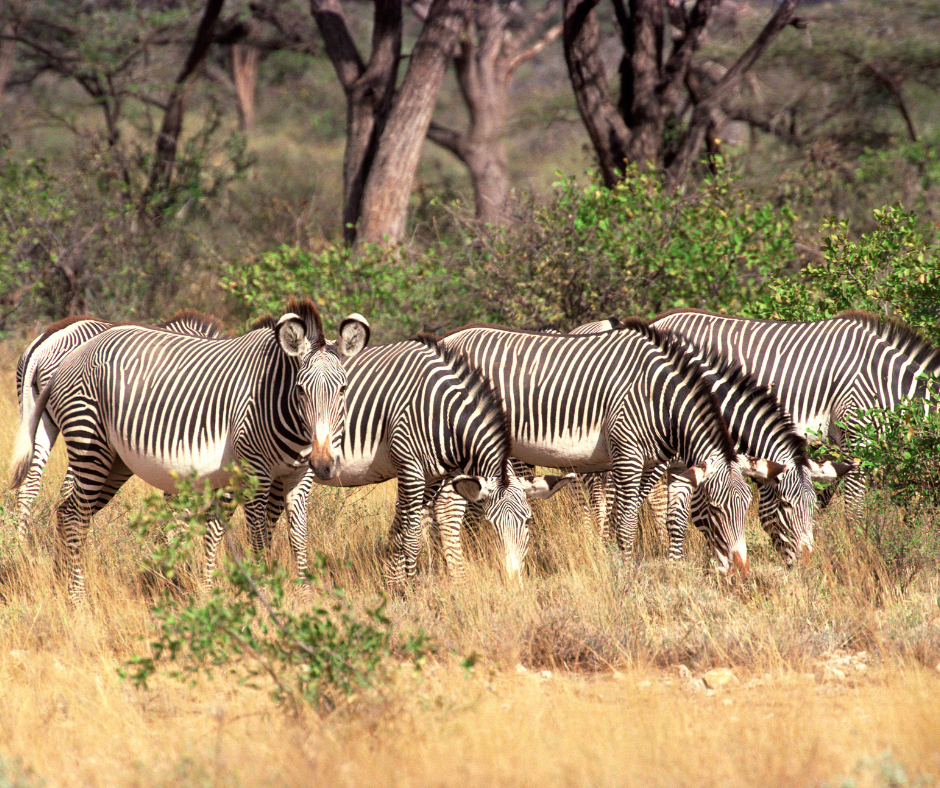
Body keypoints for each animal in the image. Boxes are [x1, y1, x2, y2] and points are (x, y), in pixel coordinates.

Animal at [11, 308, 227, 536]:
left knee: (30, 483)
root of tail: (45, 342)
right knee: (69, 489)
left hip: (40, 415)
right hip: (85, 423)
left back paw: (20, 541)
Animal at [260, 330, 576, 584]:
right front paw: (409, 588)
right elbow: (411, 535)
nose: (512, 584)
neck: (443, 414)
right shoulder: (410, 468)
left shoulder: (435, 476)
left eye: (529, 522)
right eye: (489, 525)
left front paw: (396, 583)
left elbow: (407, 529)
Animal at [426, 320, 800, 580]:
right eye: (716, 508)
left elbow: (656, 513)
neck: (660, 399)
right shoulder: (628, 455)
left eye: (748, 506)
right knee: (447, 509)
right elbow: (627, 518)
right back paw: (458, 577)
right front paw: (626, 569)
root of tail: (446, 339)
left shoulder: (659, 463)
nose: (743, 573)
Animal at [652, 310, 932, 536]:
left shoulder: (836, 441)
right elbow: (853, 501)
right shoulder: (855, 431)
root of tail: (658, 321)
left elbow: (826, 489)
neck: (886, 381)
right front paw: (858, 542)